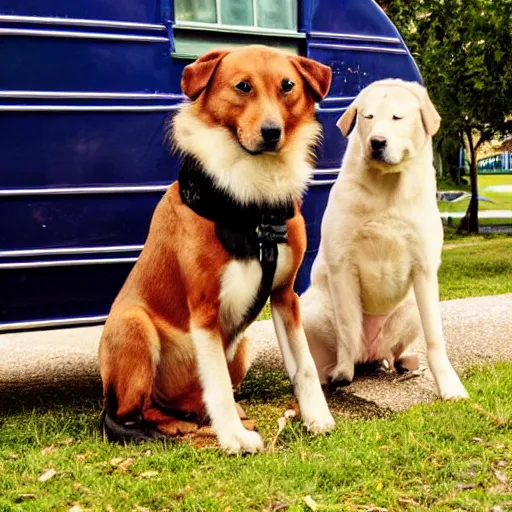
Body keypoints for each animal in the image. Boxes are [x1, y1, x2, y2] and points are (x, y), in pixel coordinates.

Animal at [98, 45, 336, 452]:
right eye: (243, 86)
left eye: (288, 86)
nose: (272, 133)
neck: (253, 203)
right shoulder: (204, 308)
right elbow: (219, 385)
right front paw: (235, 438)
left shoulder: (284, 295)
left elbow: (303, 364)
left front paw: (316, 417)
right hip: (133, 326)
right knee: (133, 410)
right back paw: (177, 424)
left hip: (242, 347)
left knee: (194, 398)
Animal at [300, 79, 468, 400]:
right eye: (367, 116)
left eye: (397, 117)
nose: (377, 141)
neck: (387, 189)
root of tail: (370, 354)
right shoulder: (342, 266)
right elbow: (348, 326)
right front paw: (342, 373)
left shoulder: (424, 270)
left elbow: (435, 337)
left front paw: (450, 386)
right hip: (310, 311)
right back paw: (330, 372)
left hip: (411, 308)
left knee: (396, 350)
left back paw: (403, 362)